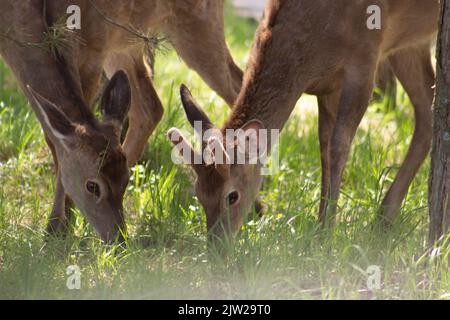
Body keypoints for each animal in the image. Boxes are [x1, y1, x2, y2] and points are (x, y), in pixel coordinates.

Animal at [0, 0, 243, 242]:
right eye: (92, 186)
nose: (119, 239)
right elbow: (53, 137)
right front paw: (58, 227)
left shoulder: (91, 46)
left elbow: (60, 136)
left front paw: (57, 229)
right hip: (126, 41)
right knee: (151, 106)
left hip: (196, 22)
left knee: (237, 83)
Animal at [169, 0, 440, 239]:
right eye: (198, 193)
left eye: (232, 196)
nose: (217, 247)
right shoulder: (328, 87)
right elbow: (324, 147)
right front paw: (321, 224)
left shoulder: (366, 58)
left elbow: (338, 147)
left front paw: (326, 233)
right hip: (409, 44)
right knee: (427, 111)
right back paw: (384, 217)